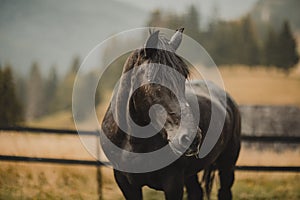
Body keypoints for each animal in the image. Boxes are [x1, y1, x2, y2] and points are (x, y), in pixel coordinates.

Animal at [101, 28, 241, 200]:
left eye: (183, 77)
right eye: (154, 80)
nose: (192, 137)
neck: (133, 142)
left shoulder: (173, 184)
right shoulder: (126, 184)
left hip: (227, 164)